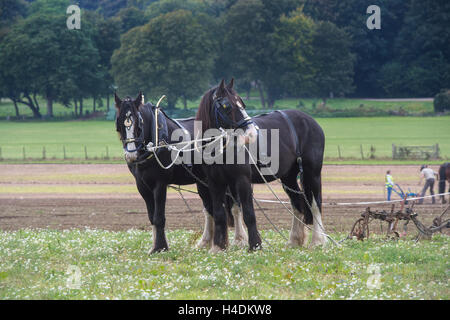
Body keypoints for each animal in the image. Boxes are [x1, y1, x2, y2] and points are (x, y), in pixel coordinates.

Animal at [114, 93, 237, 255]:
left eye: (139, 122)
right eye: (119, 121)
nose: (131, 155)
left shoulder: (160, 183)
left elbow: (159, 217)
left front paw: (160, 247)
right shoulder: (142, 186)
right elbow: (151, 217)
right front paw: (154, 246)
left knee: (234, 206)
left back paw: (239, 241)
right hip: (203, 182)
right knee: (210, 208)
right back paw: (207, 242)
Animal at [197, 79, 326, 249]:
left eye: (242, 103)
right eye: (227, 106)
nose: (251, 133)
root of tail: (310, 120)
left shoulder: (242, 180)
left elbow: (248, 213)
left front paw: (255, 245)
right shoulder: (215, 182)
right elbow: (219, 214)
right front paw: (218, 247)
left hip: (312, 173)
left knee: (315, 204)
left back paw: (318, 240)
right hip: (288, 177)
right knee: (297, 203)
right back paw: (294, 240)